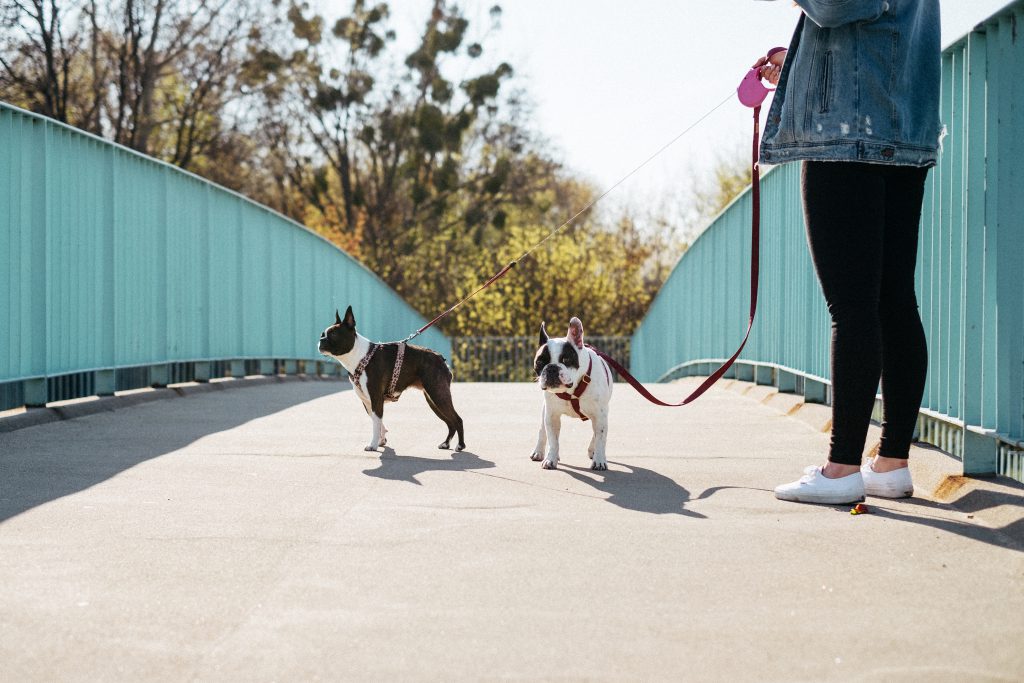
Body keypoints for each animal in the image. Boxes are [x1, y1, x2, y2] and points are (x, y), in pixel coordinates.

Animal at [317, 309, 466, 454]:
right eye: (323, 334)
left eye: (333, 335)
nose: (321, 340)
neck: (359, 356)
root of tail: (440, 358)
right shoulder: (367, 401)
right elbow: (377, 421)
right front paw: (381, 440)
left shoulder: (376, 398)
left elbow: (376, 423)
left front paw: (372, 445)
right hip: (432, 399)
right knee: (450, 422)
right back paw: (446, 444)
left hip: (438, 395)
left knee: (457, 419)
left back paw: (460, 445)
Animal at [532, 319, 610, 471]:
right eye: (540, 362)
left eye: (566, 360)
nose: (552, 368)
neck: (571, 391)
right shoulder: (552, 416)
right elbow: (553, 440)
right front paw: (551, 459)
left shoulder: (600, 415)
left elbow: (600, 438)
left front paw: (599, 460)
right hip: (545, 411)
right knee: (542, 430)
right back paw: (539, 452)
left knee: (596, 434)